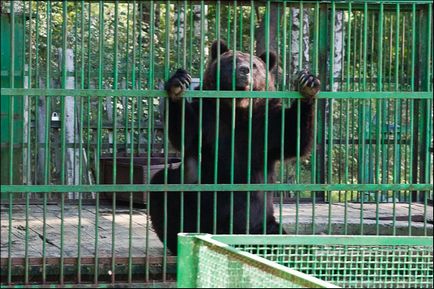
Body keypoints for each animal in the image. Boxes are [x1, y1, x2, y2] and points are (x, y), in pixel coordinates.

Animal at [151, 39, 320, 253]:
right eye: (231, 61)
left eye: (254, 65)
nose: (244, 70)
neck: (238, 110)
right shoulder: (208, 119)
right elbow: (185, 132)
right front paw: (178, 83)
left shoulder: (265, 126)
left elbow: (294, 137)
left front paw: (308, 82)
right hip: (196, 209)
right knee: (164, 189)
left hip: (262, 224)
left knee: (286, 241)